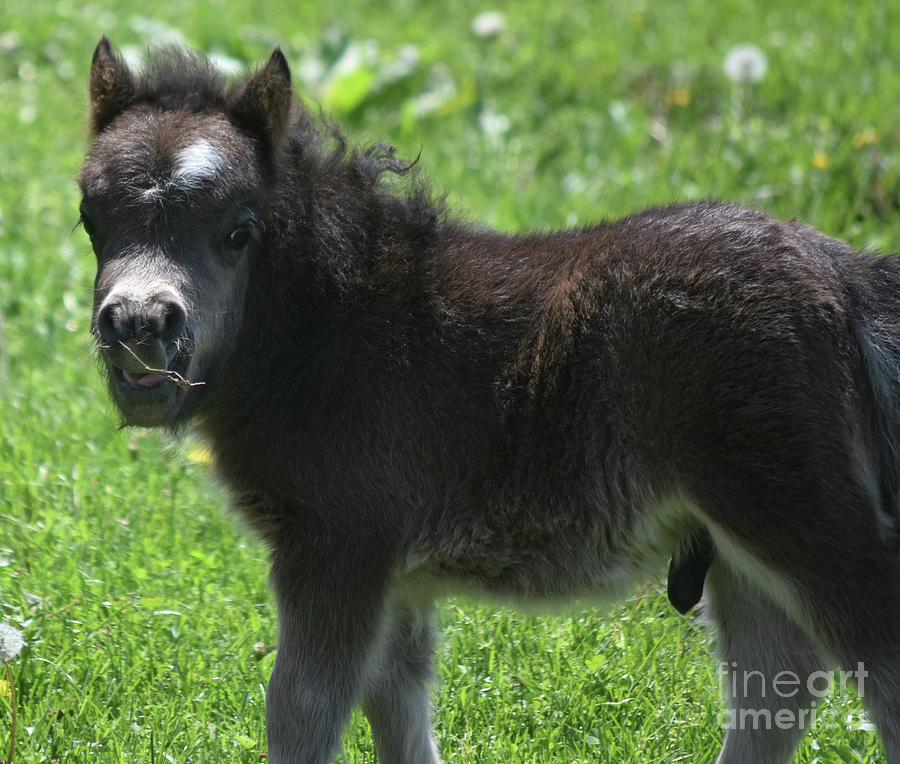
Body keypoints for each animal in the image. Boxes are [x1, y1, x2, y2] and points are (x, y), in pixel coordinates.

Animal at [77, 38, 900, 760]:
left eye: (238, 230)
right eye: (91, 219)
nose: (141, 325)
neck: (331, 320)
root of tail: (841, 275)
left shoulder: (336, 543)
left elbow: (303, 711)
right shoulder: (395, 575)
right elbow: (396, 704)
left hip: (796, 516)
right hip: (737, 549)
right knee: (778, 686)